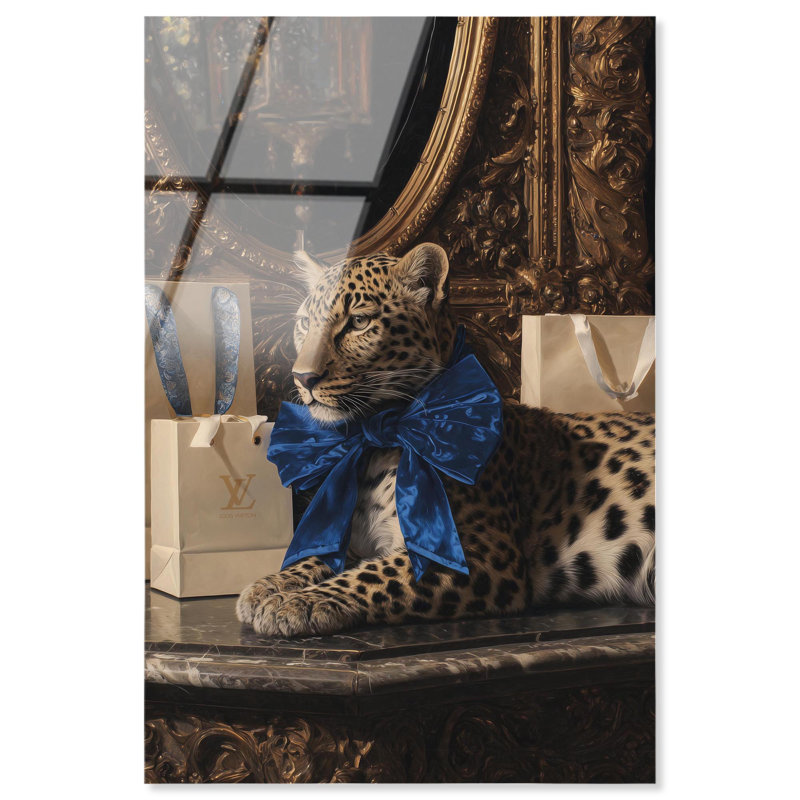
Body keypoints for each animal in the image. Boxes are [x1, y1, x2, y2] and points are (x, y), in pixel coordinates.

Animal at [237, 242, 655, 638]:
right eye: (306, 323)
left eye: (359, 322)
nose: (302, 377)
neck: (375, 438)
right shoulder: (359, 540)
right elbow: (318, 556)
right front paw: (268, 586)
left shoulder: (476, 554)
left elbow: (372, 576)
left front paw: (297, 603)